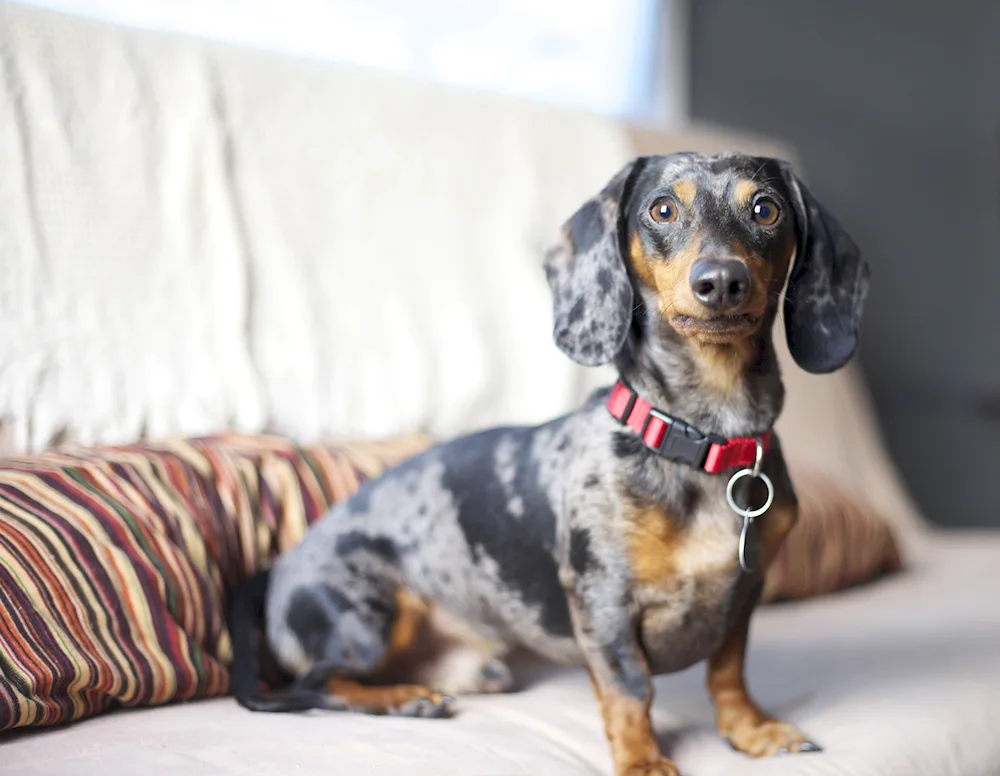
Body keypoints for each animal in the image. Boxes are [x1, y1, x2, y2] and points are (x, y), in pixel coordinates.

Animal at [230, 153, 872, 776]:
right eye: (662, 209)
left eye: (765, 209)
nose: (720, 281)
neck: (703, 439)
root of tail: (278, 566)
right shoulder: (603, 600)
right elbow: (629, 688)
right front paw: (643, 761)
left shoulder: (744, 594)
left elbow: (728, 671)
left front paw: (751, 730)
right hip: (364, 622)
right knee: (315, 685)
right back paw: (400, 699)